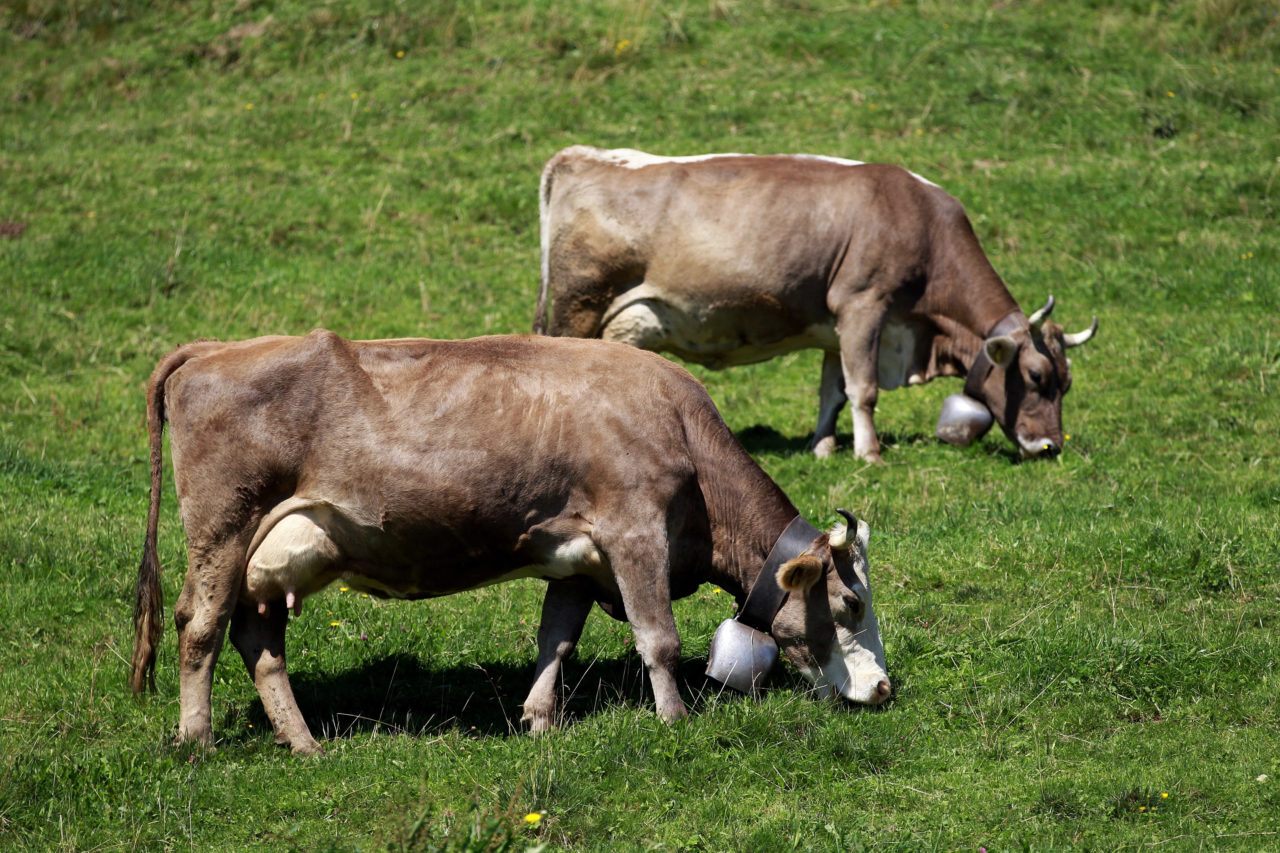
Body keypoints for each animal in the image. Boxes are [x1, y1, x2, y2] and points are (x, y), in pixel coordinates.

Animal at [132, 333, 890, 753]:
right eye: (851, 604)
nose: (884, 688)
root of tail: (217, 349)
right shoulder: (634, 530)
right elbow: (660, 638)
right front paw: (675, 720)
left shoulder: (580, 559)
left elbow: (557, 638)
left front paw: (539, 718)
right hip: (223, 529)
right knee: (199, 628)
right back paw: (196, 739)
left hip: (265, 558)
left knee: (258, 642)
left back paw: (304, 743)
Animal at [532, 149, 1100, 461]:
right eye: (1035, 377)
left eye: (1067, 382)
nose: (1050, 447)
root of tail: (578, 156)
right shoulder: (864, 306)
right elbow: (864, 390)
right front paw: (870, 455)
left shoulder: (836, 329)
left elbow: (834, 392)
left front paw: (823, 449)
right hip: (577, 306)